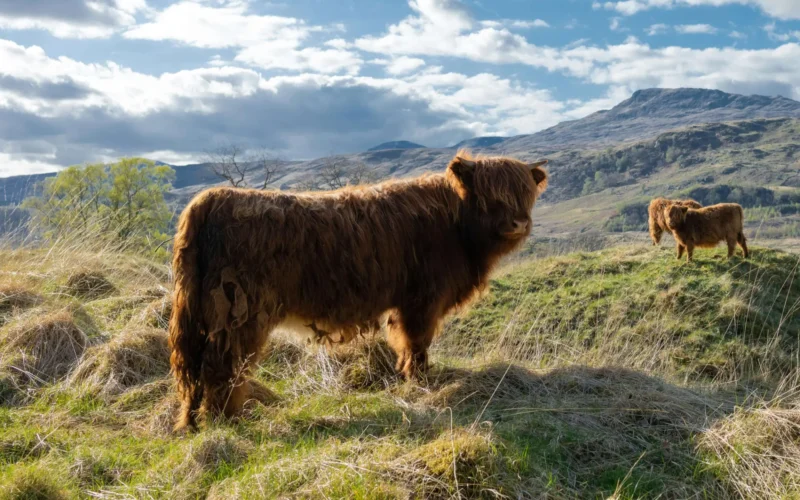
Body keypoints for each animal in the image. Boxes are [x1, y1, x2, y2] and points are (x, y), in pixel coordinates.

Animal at [170, 149, 552, 430]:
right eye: (490, 195)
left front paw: (408, 377)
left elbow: (407, 342)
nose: (518, 223)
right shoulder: (422, 299)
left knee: (195, 368)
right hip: (237, 314)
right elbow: (417, 342)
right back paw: (226, 420)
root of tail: (211, 198)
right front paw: (420, 380)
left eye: (524, 194)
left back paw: (193, 422)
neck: (456, 224)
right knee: (221, 366)